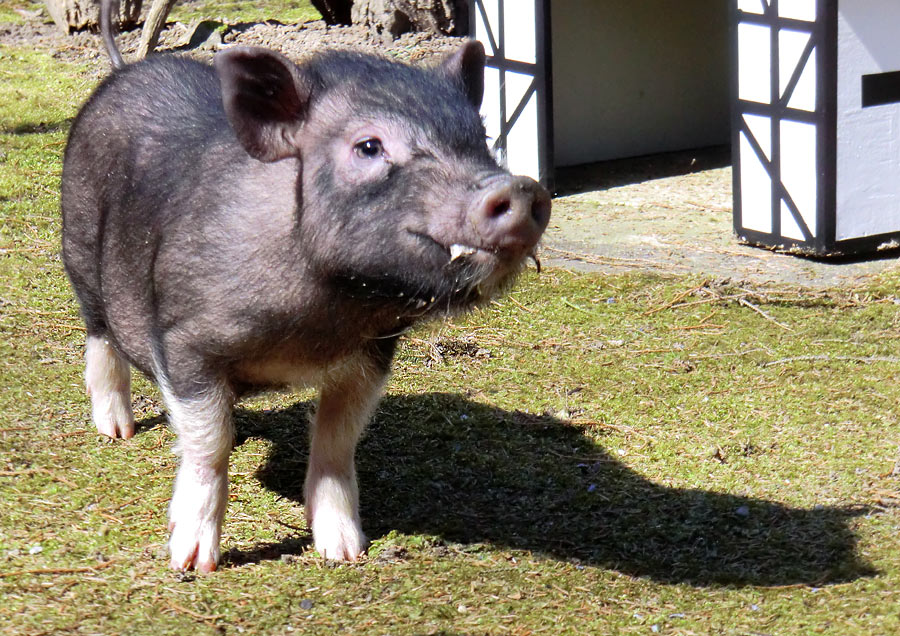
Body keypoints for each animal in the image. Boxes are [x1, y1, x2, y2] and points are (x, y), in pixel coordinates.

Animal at [61, 12, 548, 572]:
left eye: (482, 137)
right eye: (368, 146)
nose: (521, 189)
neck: (320, 321)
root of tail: (125, 70)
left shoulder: (372, 355)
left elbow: (337, 442)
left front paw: (346, 552)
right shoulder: (185, 343)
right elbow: (209, 445)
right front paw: (191, 563)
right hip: (79, 246)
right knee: (99, 335)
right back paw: (116, 431)